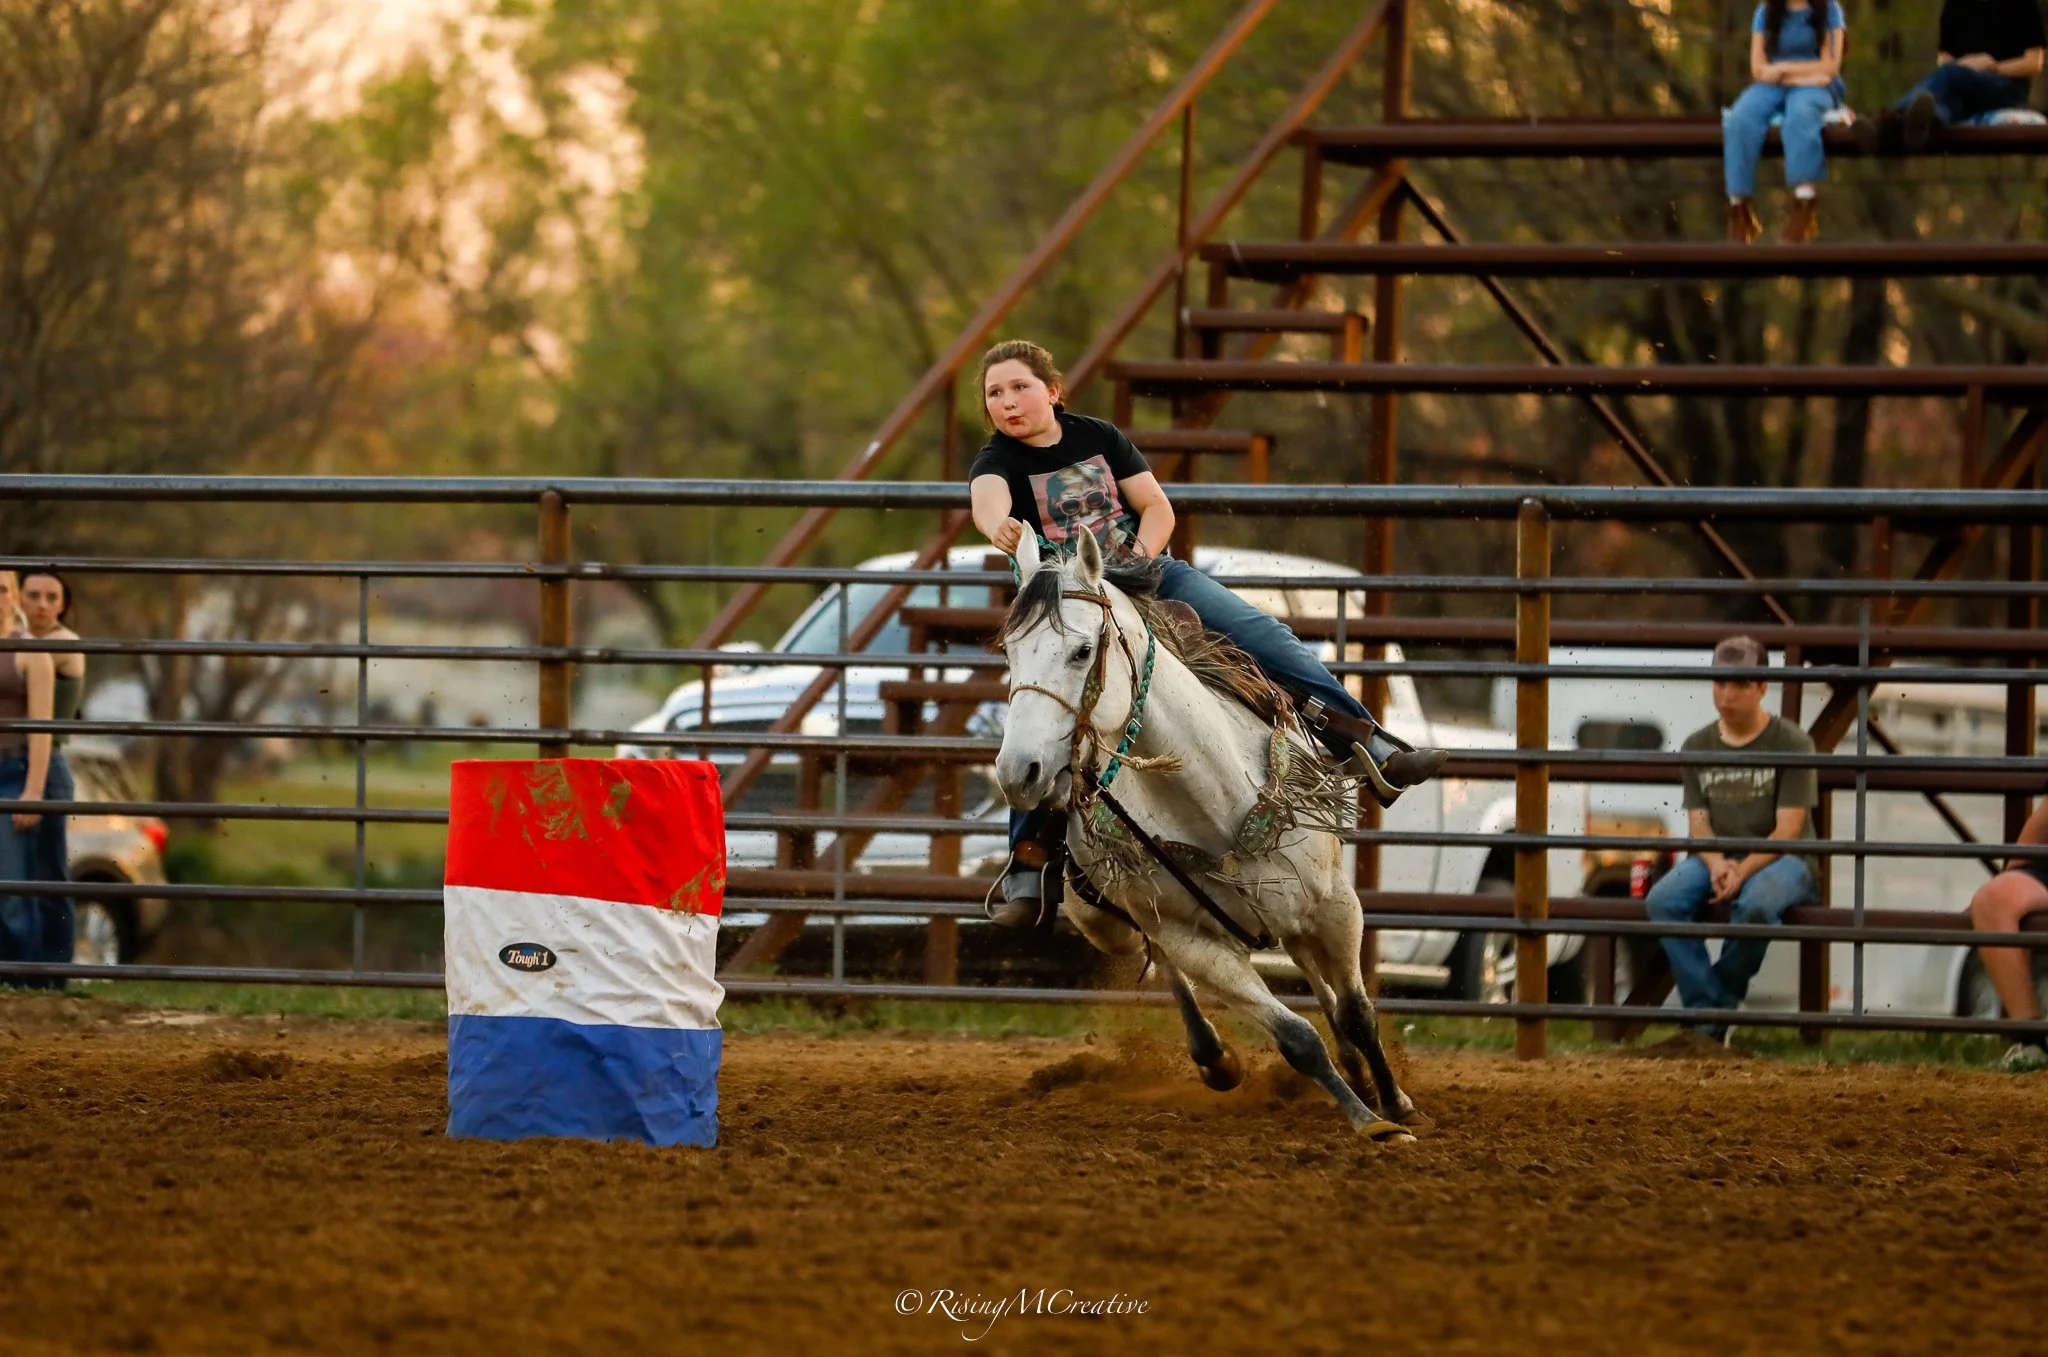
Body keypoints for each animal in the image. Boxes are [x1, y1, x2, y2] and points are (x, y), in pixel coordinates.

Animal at [994, 530, 1425, 1143]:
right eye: (1009, 654)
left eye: (1080, 652)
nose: (1018, 773)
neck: (1211, 799)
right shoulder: (1195, 942)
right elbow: (1296, 1037)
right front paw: (1369, 1123)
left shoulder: (1335, 905)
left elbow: (1358, 1014)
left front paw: (1394, 1105)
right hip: (1111, 924)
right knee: (1163, 961)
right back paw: (1215, 1057)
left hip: (1292, 913)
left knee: (1318, 979)